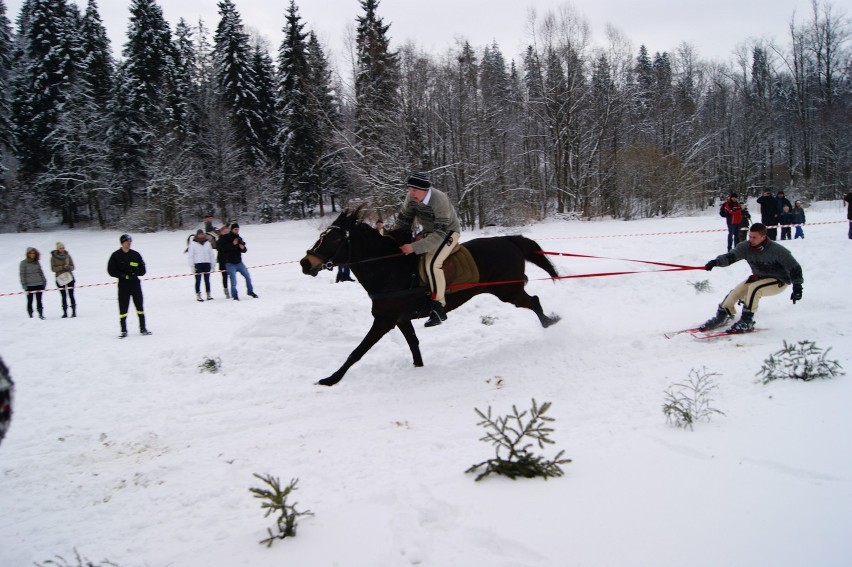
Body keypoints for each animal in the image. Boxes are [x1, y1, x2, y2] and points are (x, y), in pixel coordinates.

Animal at [300, 209, 560, 386]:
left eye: (334, 239)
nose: (305, 263)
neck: (389, 268)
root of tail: (508, 239)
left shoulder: (384, 321)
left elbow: (358, 351)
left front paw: (331, 379)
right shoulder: (401, 319)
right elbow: (413, 344)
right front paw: (418, 366)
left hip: (509, 291)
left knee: (534, 301)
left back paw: (549, 322)